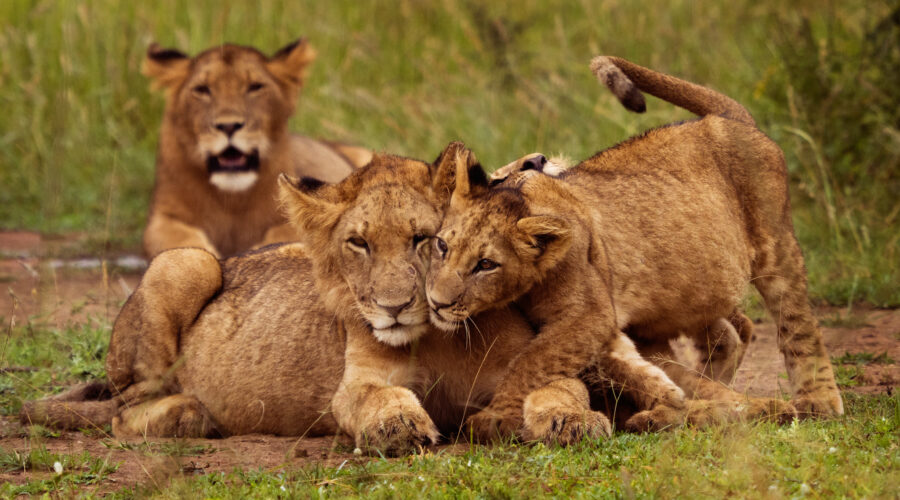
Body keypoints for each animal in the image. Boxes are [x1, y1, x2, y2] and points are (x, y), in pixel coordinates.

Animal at [21, 144, 609, 454]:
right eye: (359, 243)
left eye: (423, 239)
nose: (394, 307)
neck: (442, 338)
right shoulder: (356, 384)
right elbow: (375, 399)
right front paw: (400, 426)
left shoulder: (527, 365)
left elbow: (560, 387)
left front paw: (574, 421)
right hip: (186, 260)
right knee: (124, 412)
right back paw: (190, 413)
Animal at [141, 39, 372, 259]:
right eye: (202, 89)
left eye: (255, 87)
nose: (228, 126)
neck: (231, 200)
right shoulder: (163, 217)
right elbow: (177, 239)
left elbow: (283, 234)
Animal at [427, 56, 842, 440]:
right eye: (441, 247)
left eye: (485, 264)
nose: (436, 303)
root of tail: (726, 118)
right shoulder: (610, 329)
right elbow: (643, 372)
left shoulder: (590, 316)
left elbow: (530, 362)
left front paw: (495, 417)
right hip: (692, 288)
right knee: (730, 332)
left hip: (775, 247)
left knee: (797, 324)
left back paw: (817, 401)